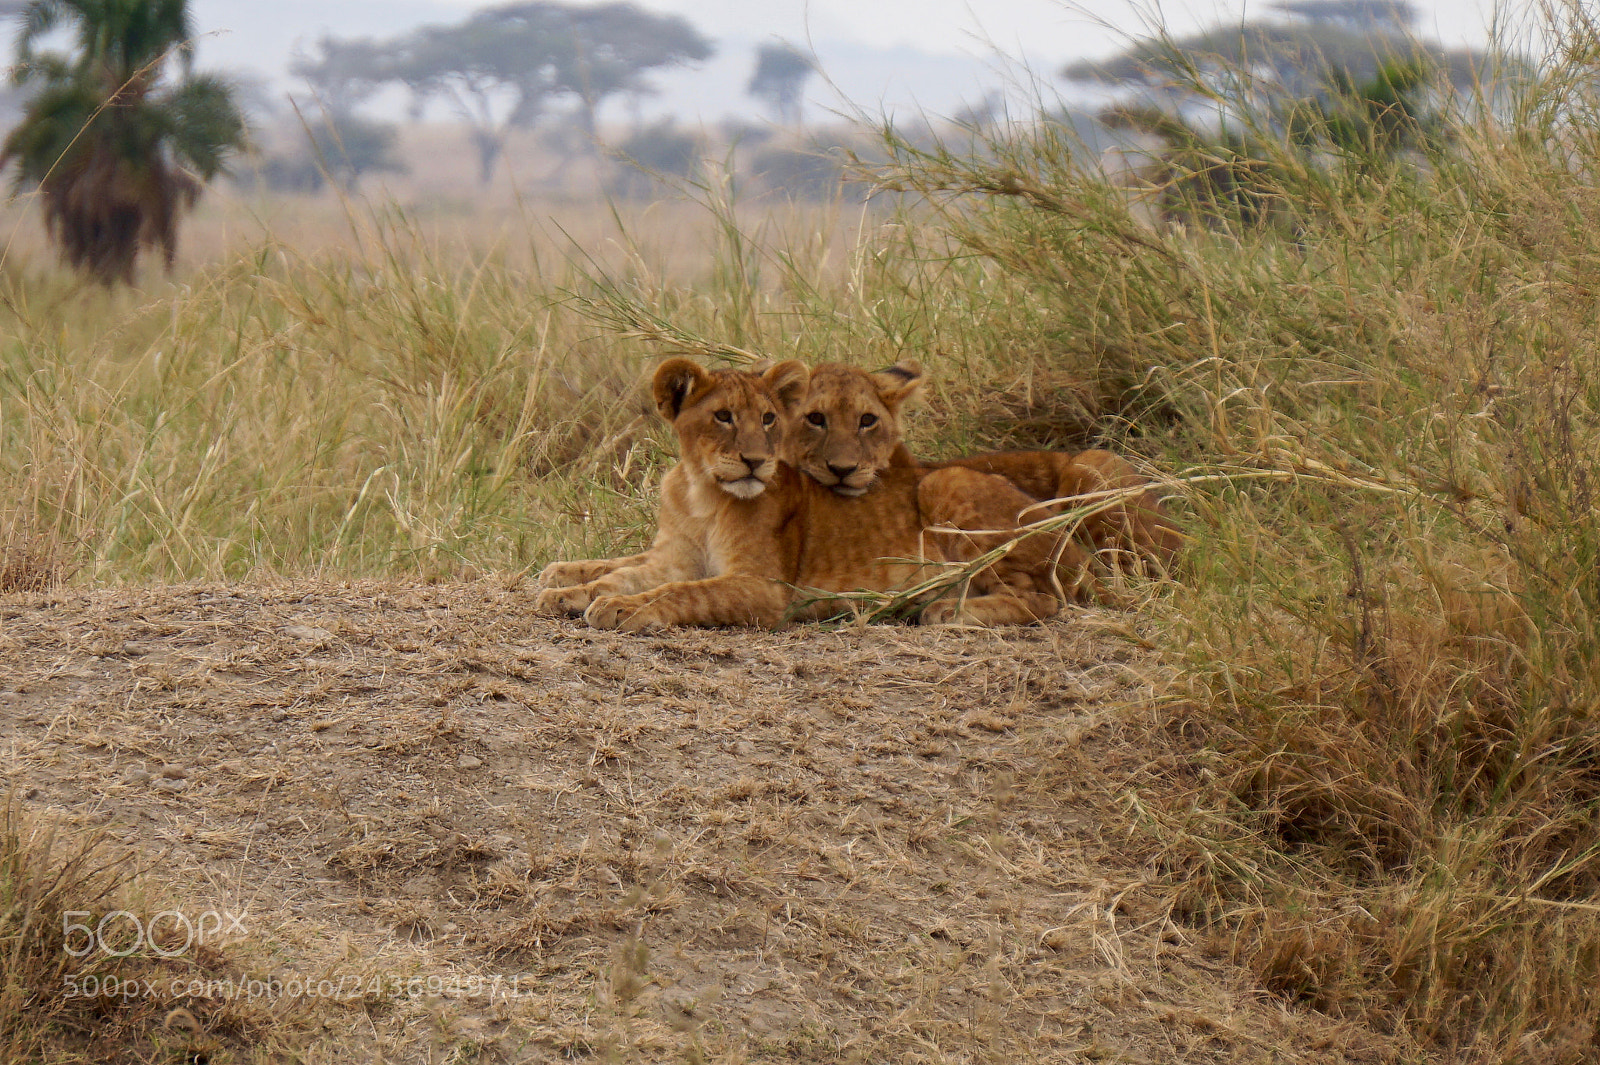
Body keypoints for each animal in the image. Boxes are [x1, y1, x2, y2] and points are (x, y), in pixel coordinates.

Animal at [535, 358, 1072, 631]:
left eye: (769, 418)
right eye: (723, 417)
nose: (755, 460)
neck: (700, 492)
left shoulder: (767, 589)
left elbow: (687, 592)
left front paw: (627, 609)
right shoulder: (673, 558)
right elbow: (622, 573)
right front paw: (569, 592)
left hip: (947, 484)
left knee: (1044, 599)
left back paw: (946, 609)